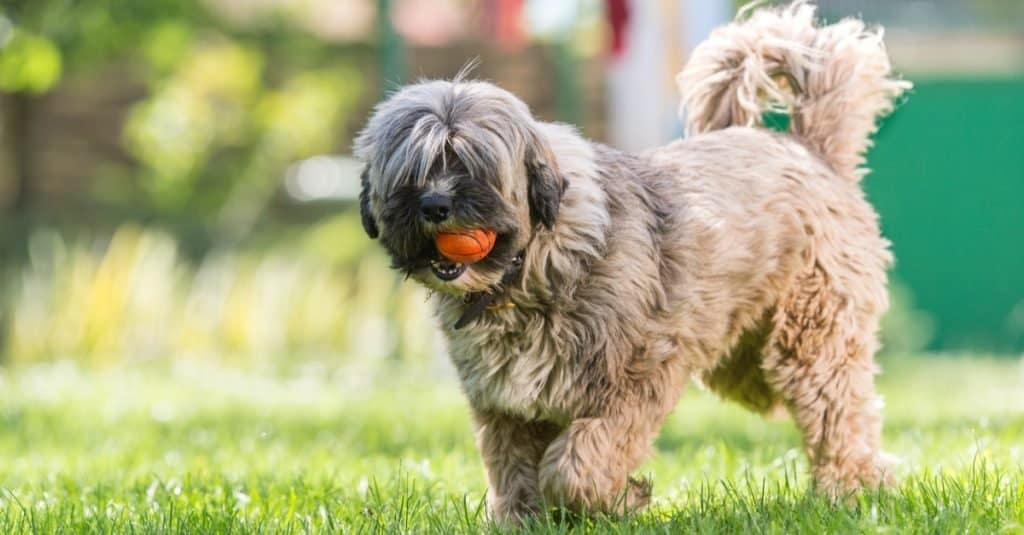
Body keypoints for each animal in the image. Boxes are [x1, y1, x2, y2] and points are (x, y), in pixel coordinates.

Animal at [354, 1, 913, 520]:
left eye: (471, 164)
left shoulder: (635, 381)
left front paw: (617, 499)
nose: (434, 206)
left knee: (839, 412)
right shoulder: (505, 408)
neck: (532, 266)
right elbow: (514, 471)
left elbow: (576, 464)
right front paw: (524, 517)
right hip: (741, 364)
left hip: (810, 339)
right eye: (410, 172)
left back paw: (853, 486)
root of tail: (808, 148)